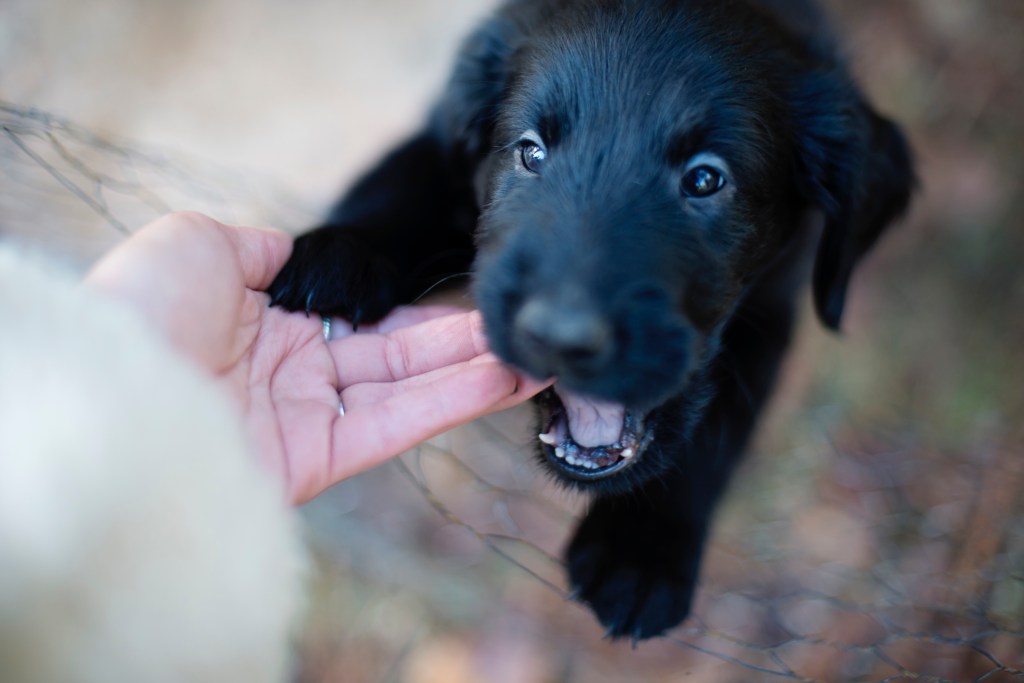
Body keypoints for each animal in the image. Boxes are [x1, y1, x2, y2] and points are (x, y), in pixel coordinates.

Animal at [270, 0, 913, 643]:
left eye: (705, 179)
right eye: (531, 152)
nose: (559, 336)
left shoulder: (773, 308)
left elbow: (714, 424)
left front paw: (640, 551)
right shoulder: (438, 146)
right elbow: (406, 179)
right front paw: (339, 255)